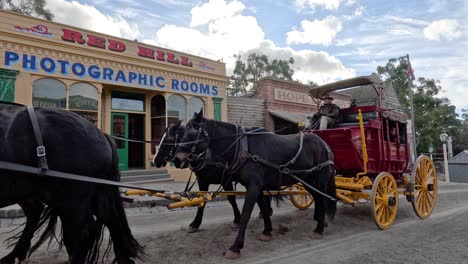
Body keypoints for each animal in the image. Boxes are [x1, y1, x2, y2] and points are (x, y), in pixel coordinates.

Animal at [176, 110, 336, 260]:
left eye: (193, 132)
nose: (177, 158)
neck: (244, 148)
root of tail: (324, 144)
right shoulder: (256, 187)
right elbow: (264, 209)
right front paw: (267, 231)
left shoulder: (253, 187)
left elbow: (246, 215)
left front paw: (235, 247)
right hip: (307, 180)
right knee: (317, 198)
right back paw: (319, 221)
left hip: (320, 179)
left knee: (323, 199)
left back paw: (319, 229)